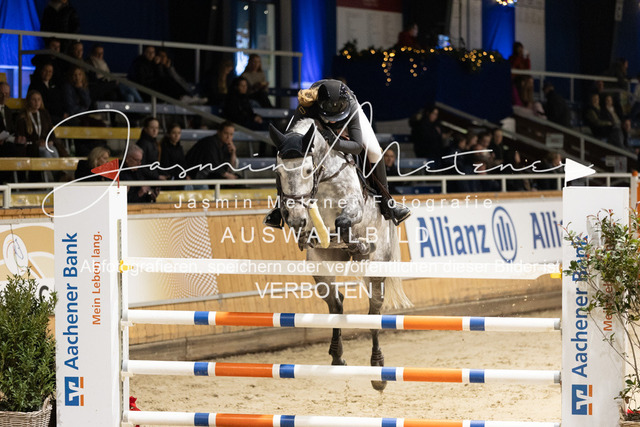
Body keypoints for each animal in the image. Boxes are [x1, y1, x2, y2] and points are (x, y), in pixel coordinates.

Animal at [268, 118, 412, 391]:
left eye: (307, 170)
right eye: (278, 172)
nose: (295, 219)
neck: (324, 178)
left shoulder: (354, 207)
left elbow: (344, 221)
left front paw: (359, 244)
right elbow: (314, 231)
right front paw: (306, 234)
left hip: (376, 269)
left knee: (374, 314)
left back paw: (378, 370)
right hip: (321, 267)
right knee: (336, 303)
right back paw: (337, 356)